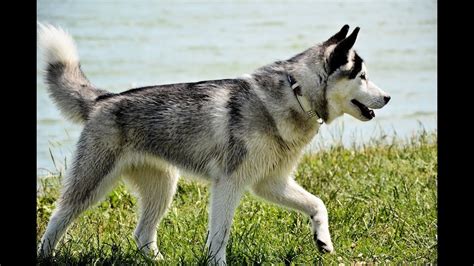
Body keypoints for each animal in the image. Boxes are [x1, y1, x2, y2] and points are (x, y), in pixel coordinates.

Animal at [38, 23, 388, 264]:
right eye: (362, 76)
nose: (387, 97)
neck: (295, 93)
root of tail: (104, 99)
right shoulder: (229, 184)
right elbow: (220, 236)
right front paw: (217, 262)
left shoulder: (270, 182)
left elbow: (318, 204)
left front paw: (323, 240)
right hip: (92, 184)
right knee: (58, 217)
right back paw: (45, 254)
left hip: (163, 188)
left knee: (142, 234)